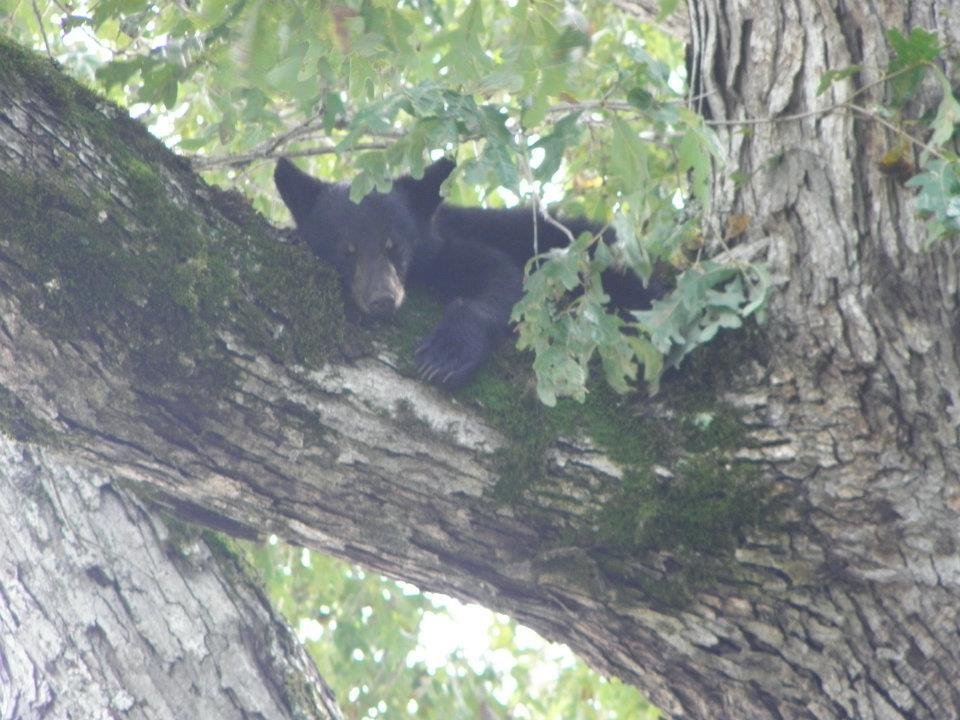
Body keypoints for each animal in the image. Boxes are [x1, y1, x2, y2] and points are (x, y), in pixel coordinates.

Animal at [273, 156, 659, 387]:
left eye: (394, 245)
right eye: (347, 251)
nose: (382, 299)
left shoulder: (449, 249)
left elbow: (503, 279)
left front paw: (445, 355)